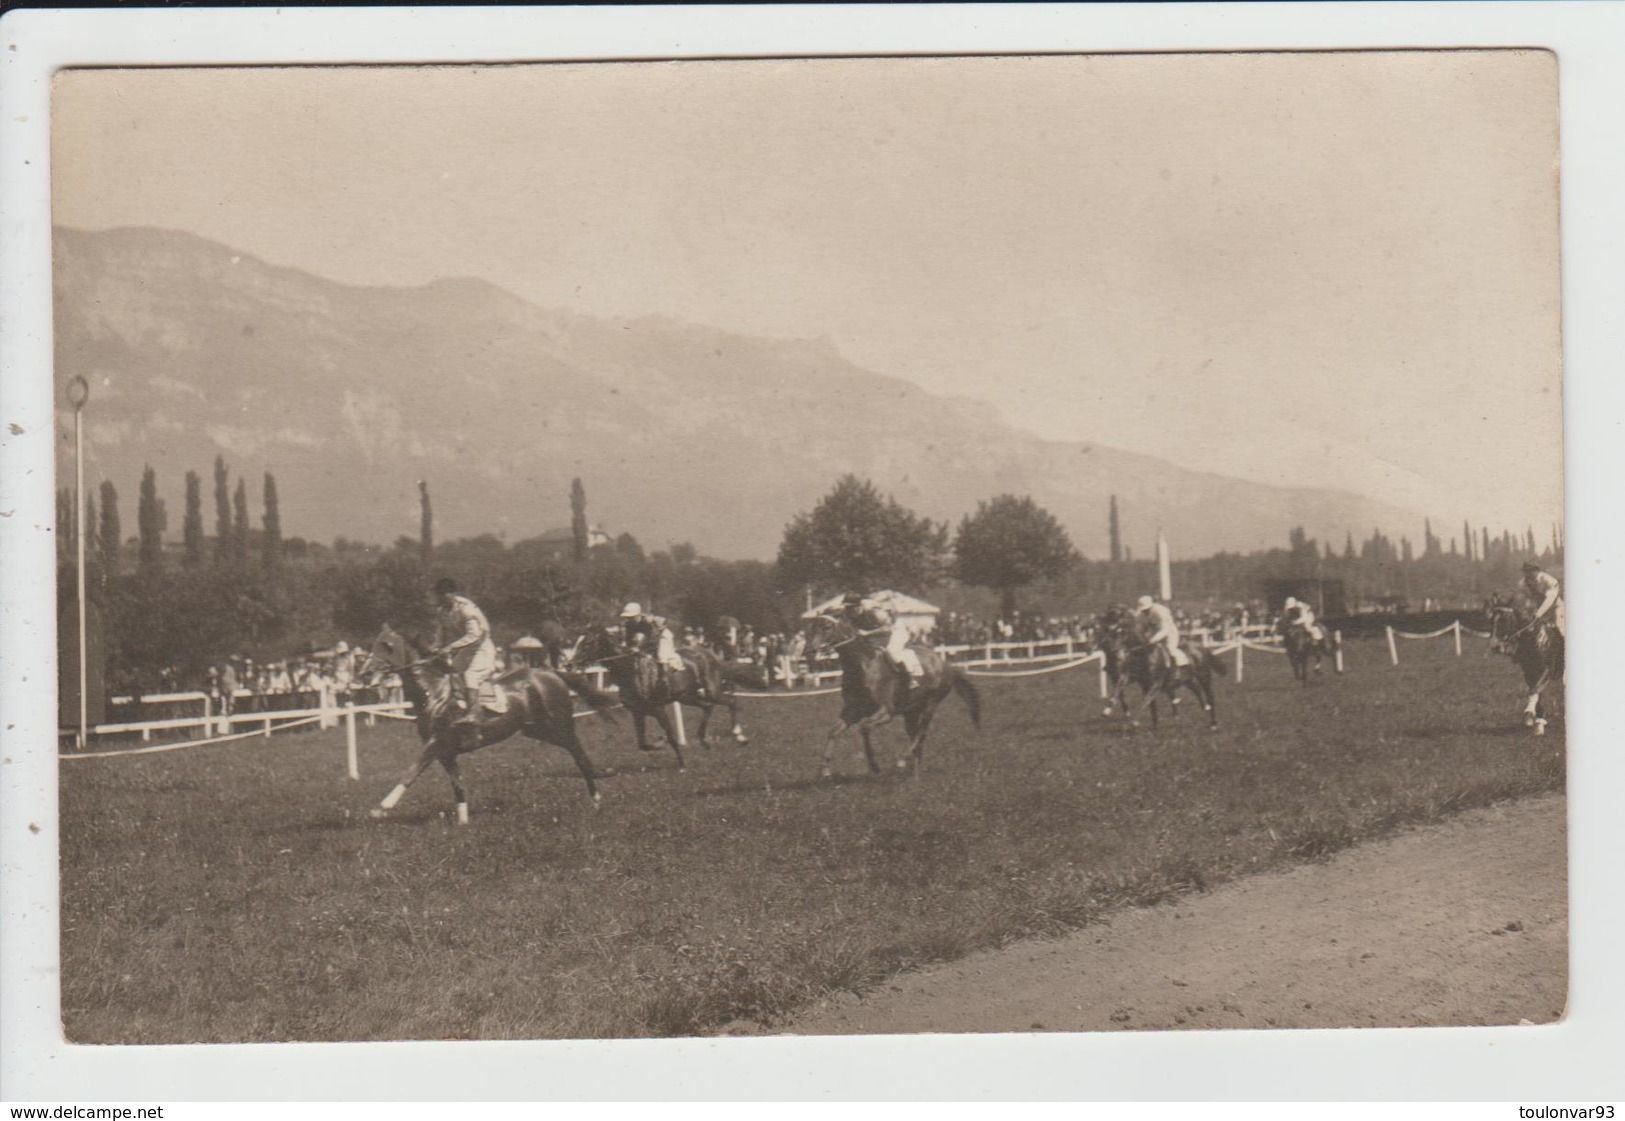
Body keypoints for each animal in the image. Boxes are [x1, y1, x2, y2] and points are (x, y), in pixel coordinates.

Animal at [360, 620, 614, 822]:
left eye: (387, 645)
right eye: (374, 643)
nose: (364, 673)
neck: (433, 694)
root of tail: (551, 673)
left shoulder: (437, 743)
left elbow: (411, 772)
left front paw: (382, 807)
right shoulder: (446, 753)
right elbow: (458, 785)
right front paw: (463, 822)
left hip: (560, 725)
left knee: (577, 751)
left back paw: (597, 798)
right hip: (536, 729)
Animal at [572, 620, 747, 766]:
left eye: (587, 643)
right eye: (577, 641)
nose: (569, 663)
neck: (630, 670)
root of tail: (709, 653)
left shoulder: (658, 708)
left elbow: (671, 736)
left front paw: (681, 763)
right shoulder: (638, 712)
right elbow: (642, 743)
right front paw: (660, 743)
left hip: (711, 689)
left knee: (730, 702)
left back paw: (739, 736)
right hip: (686, 696)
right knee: (707, 706)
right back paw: (704, 741)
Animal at [799, 610, 975, 776]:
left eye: (826, 627)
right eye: (810, 628)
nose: (808, 652)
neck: (863, 666)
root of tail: (944, 663)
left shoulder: (886, 712)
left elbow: (864, 727)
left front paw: (874, 767)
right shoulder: (852, 710)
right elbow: (834, 731)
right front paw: (824, 769)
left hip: (930, 706)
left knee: (921, 734)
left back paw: (903, 759)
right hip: (911, 712)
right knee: (915, 735)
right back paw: (914, 769)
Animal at [1092, 607, 1222, 727]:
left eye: (1121, 630)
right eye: (1108, 629)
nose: (1112, 649)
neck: (1144, 654)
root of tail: (1202, 648)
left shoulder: (1155, 684)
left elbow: (1146, 701)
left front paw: (1135, 722)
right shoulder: (1136, 680)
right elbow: (1121, 690)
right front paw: (1107, 711)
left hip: (1204, 677)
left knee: (1210, 696)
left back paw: (1214, 723)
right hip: (1188, 679)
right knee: (1196, 688)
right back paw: (1204, 707)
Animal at [1488, 594, 1560, 734]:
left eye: (1504, 620)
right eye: (1491, 620)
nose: (1494, 646)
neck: (1533, 637)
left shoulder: (1547, 669)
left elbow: (1535, 690)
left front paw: (1529, 713)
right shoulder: (1529, 672)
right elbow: (1536, 692)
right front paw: (1537, 721)